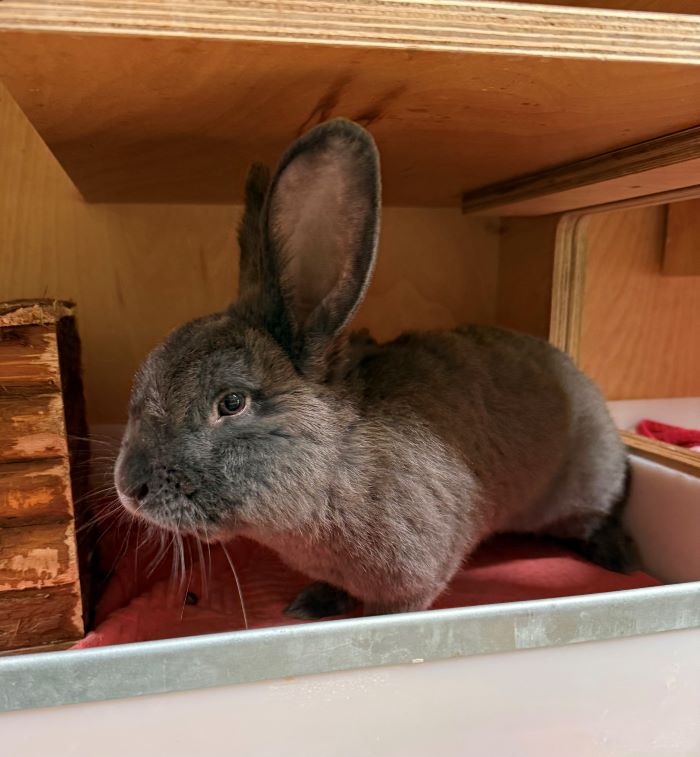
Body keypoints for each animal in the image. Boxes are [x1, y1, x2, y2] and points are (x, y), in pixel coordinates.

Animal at [115, 118, 636, 619]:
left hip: (586, 489)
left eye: (231, 402)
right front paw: (313, 602)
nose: (129, 488)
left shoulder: (412, 577)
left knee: (599, 516)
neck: (333, 462)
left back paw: (619, 558)